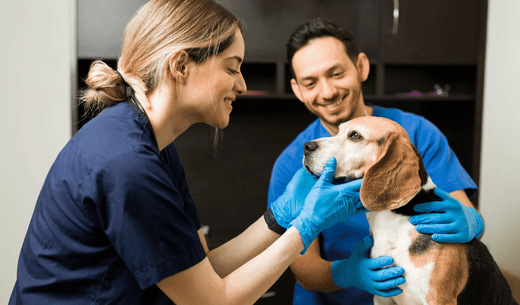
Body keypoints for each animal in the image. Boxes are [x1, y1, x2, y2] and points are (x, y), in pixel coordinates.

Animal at [300, 116, 516, 304]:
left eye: (355, 136)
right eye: (337, 131)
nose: (306, 146)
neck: (395, 220)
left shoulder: (439, 299)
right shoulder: (382, 295)